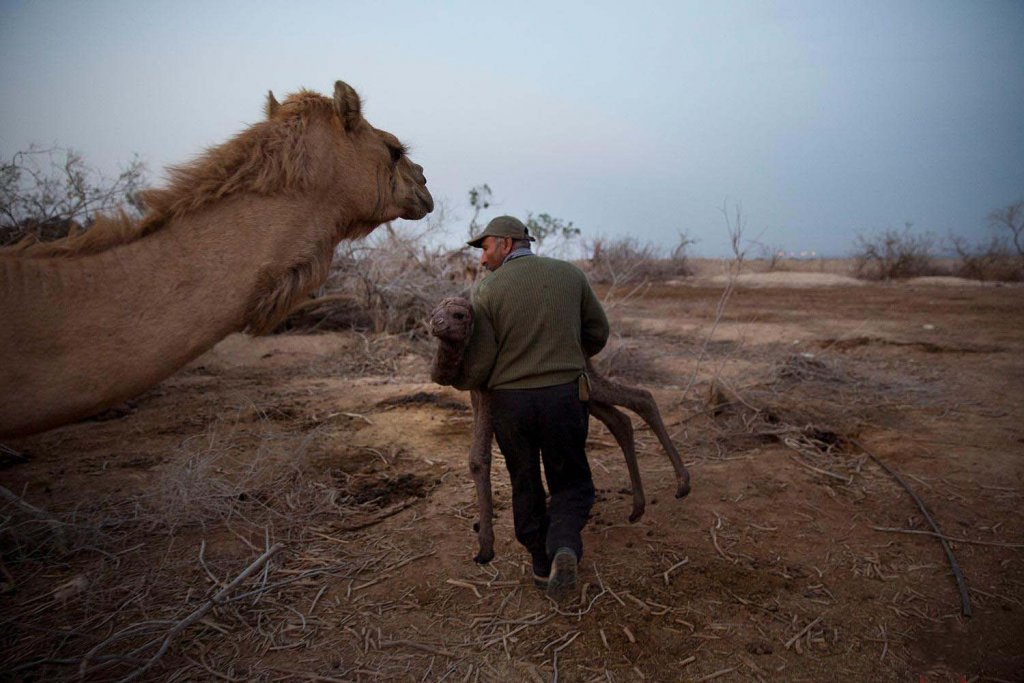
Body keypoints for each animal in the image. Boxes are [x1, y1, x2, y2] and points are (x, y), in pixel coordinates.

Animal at [428, 296, 692, 565]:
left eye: (459, 315)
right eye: (434, 312)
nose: (436, 324)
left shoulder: (488, 386)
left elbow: (479, 458)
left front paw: (485, 548)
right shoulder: (476, 392)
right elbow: (476, 457)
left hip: (585, 374)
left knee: (642, 398)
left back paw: (681, 485)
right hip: (585, 384)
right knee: (620, 419)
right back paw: (638, 507)